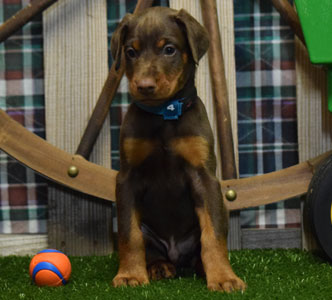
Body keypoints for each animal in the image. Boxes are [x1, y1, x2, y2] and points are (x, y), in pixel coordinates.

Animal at [110, 6, 245, 292]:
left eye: (169, 49)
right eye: (130, 52)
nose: (144, 86)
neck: (165, 114)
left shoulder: (203, 175)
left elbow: (213, 236)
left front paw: (223, 277)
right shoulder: (126, 178)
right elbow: (130, 234)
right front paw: (129, 274)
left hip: (220, 212)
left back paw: (202, 269)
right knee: (150, 247)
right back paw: (158, 267)